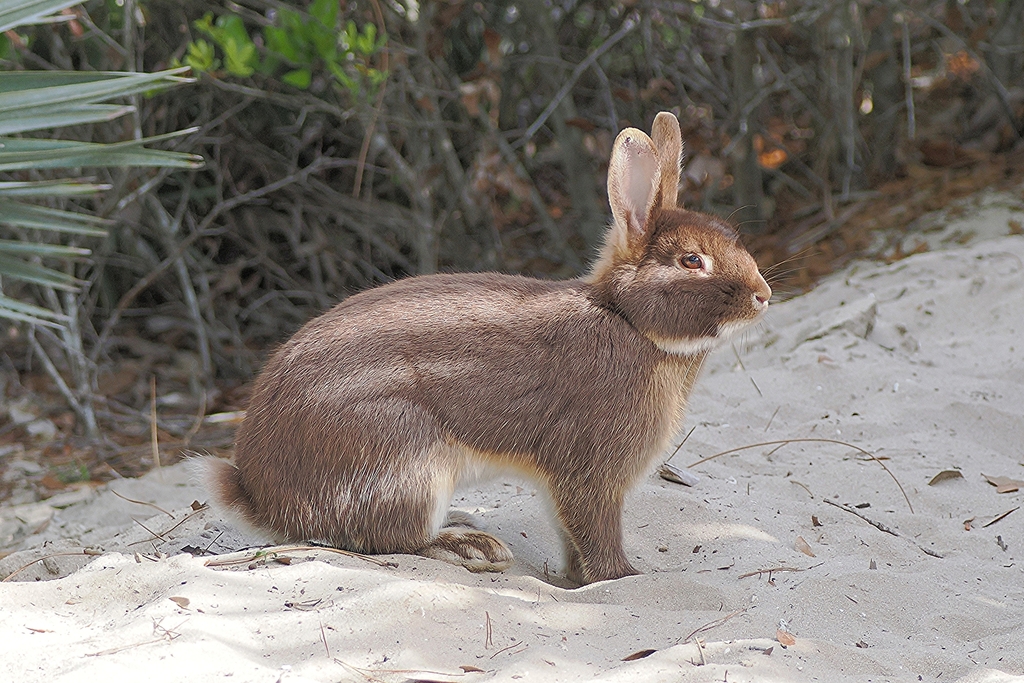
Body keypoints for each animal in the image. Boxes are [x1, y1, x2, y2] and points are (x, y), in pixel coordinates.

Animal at [200, 112, 771, 585]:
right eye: (692, 261)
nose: (763, 295)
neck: (627, 319)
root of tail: (259, 495)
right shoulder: (593, 471)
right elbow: (596, 531)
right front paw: (623, 578)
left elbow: (569, 535)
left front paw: (574, 580)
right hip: (404, 458)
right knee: (394, 538)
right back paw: (472, 546)